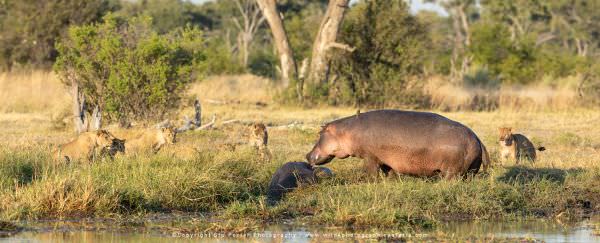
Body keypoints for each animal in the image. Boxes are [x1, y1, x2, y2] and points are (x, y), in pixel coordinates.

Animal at [304, 110, 488, 178]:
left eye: (320, 133)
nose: (306, 155)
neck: (347, 130)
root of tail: (477, 138)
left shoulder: (370, 157)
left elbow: (372, 173)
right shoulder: (386, 160)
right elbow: (389, 172)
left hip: (452, 170)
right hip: (471, 170)